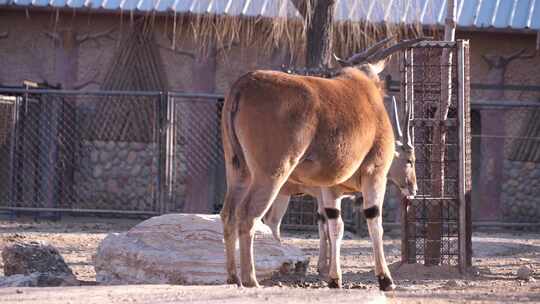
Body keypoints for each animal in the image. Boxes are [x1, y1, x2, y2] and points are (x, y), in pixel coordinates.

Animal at [219, 38, 422, 290]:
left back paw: (233, 276)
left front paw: (334, 277)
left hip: (239, 172)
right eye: (410, 160)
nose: (414, 188)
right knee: (249, 216)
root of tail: (243, 85)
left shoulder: (330, 189)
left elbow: (335, 226)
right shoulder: (374, 175)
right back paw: (251, 279)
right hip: (272, 175)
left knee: (229, 214)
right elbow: (375, 223)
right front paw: (385, 279)